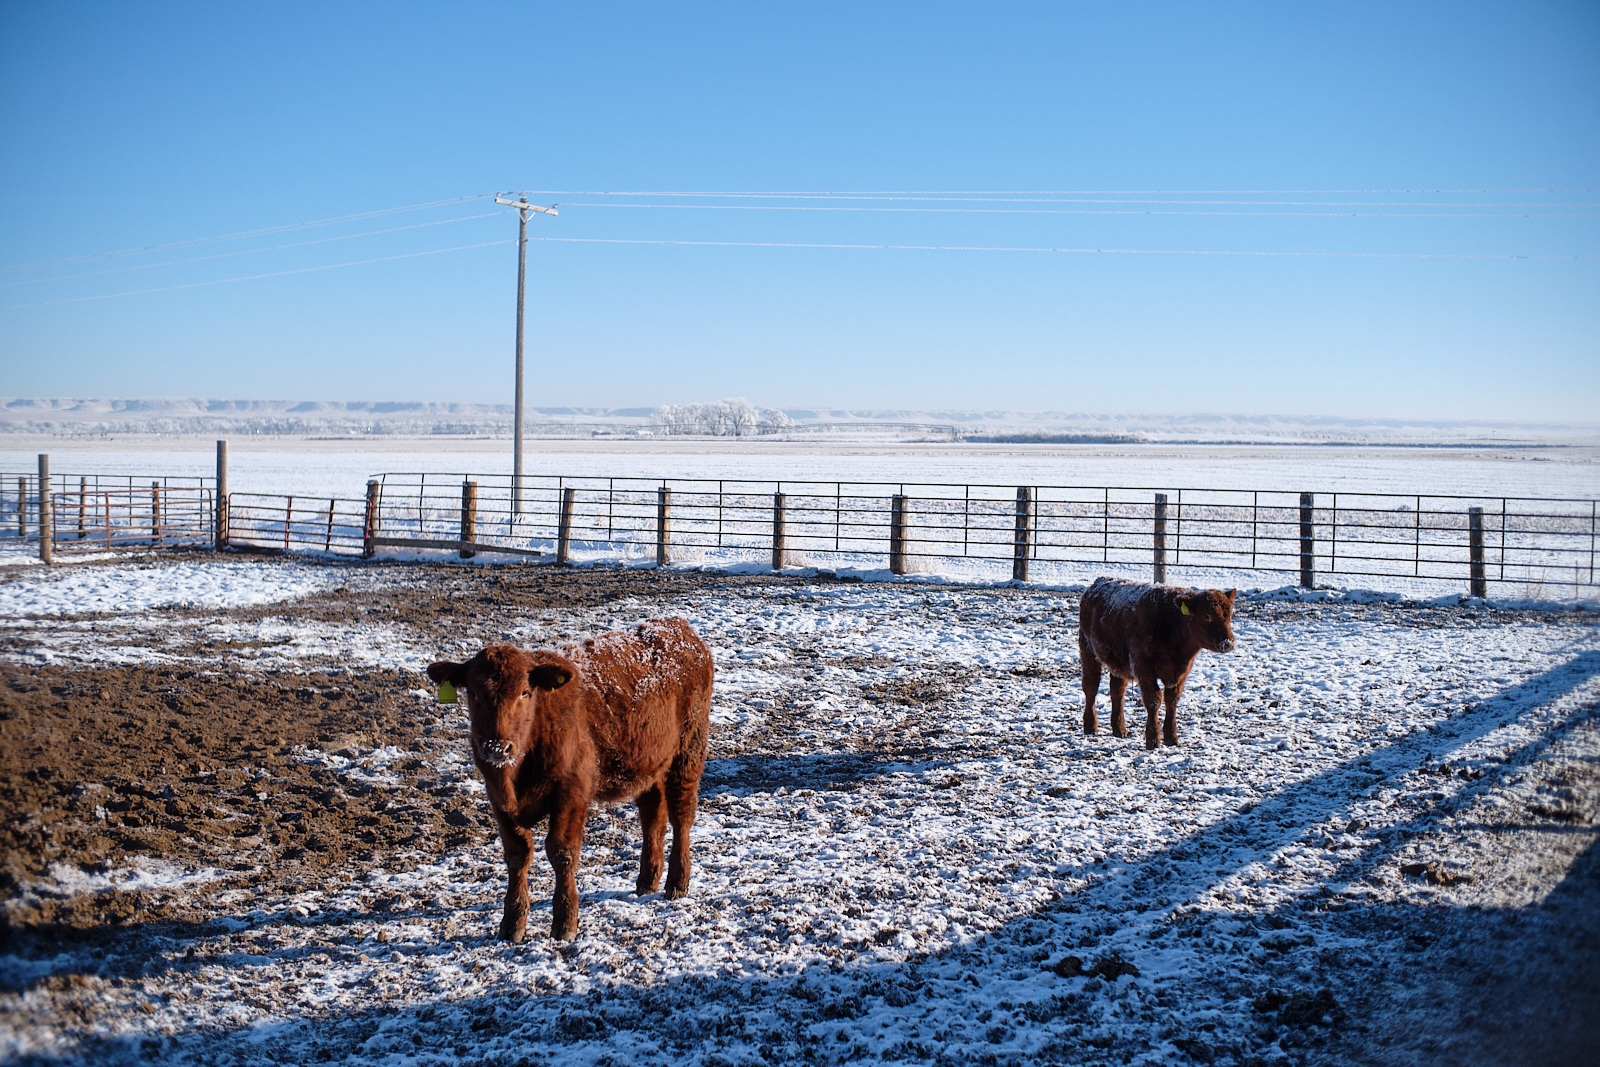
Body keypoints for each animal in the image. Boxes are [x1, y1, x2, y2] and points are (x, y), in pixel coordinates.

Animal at [432, 617, 720, 940]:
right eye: (473, 694)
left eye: (524, 693)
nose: (497, 747)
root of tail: (675, 626)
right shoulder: (498, 799)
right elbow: (517, 856)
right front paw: (511, 924)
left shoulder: (571, 792)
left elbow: (561, 852)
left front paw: (565, 922)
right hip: (649, 762)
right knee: (652, 817)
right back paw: (647, 880)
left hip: (689, 749)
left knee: (681, 814)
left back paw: (677, 882)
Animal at [1081, 579, 1241, 748]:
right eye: (1206, 615)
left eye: (1230, 614)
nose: (1229, 643)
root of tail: (1099, 582)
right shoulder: (1143, 667)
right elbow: (1154, 700)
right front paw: (1153, 739)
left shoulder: (1182, 672)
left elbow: (1172, 700)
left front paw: (1172, 737)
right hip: (1088, 649)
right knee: (1091, 686)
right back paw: (1090, 726)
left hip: (1117, 660)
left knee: (1117, 691)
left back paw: (1120, 729)